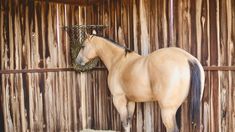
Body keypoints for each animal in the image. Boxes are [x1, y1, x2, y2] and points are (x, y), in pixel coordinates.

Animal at [76, 34, 205, 131]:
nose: (77, 61)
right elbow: (128, 123)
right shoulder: (130, 101)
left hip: (167, 110)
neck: (118, 61)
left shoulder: (119, 99)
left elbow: (125, 123)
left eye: (83, 46)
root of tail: (188, 58)